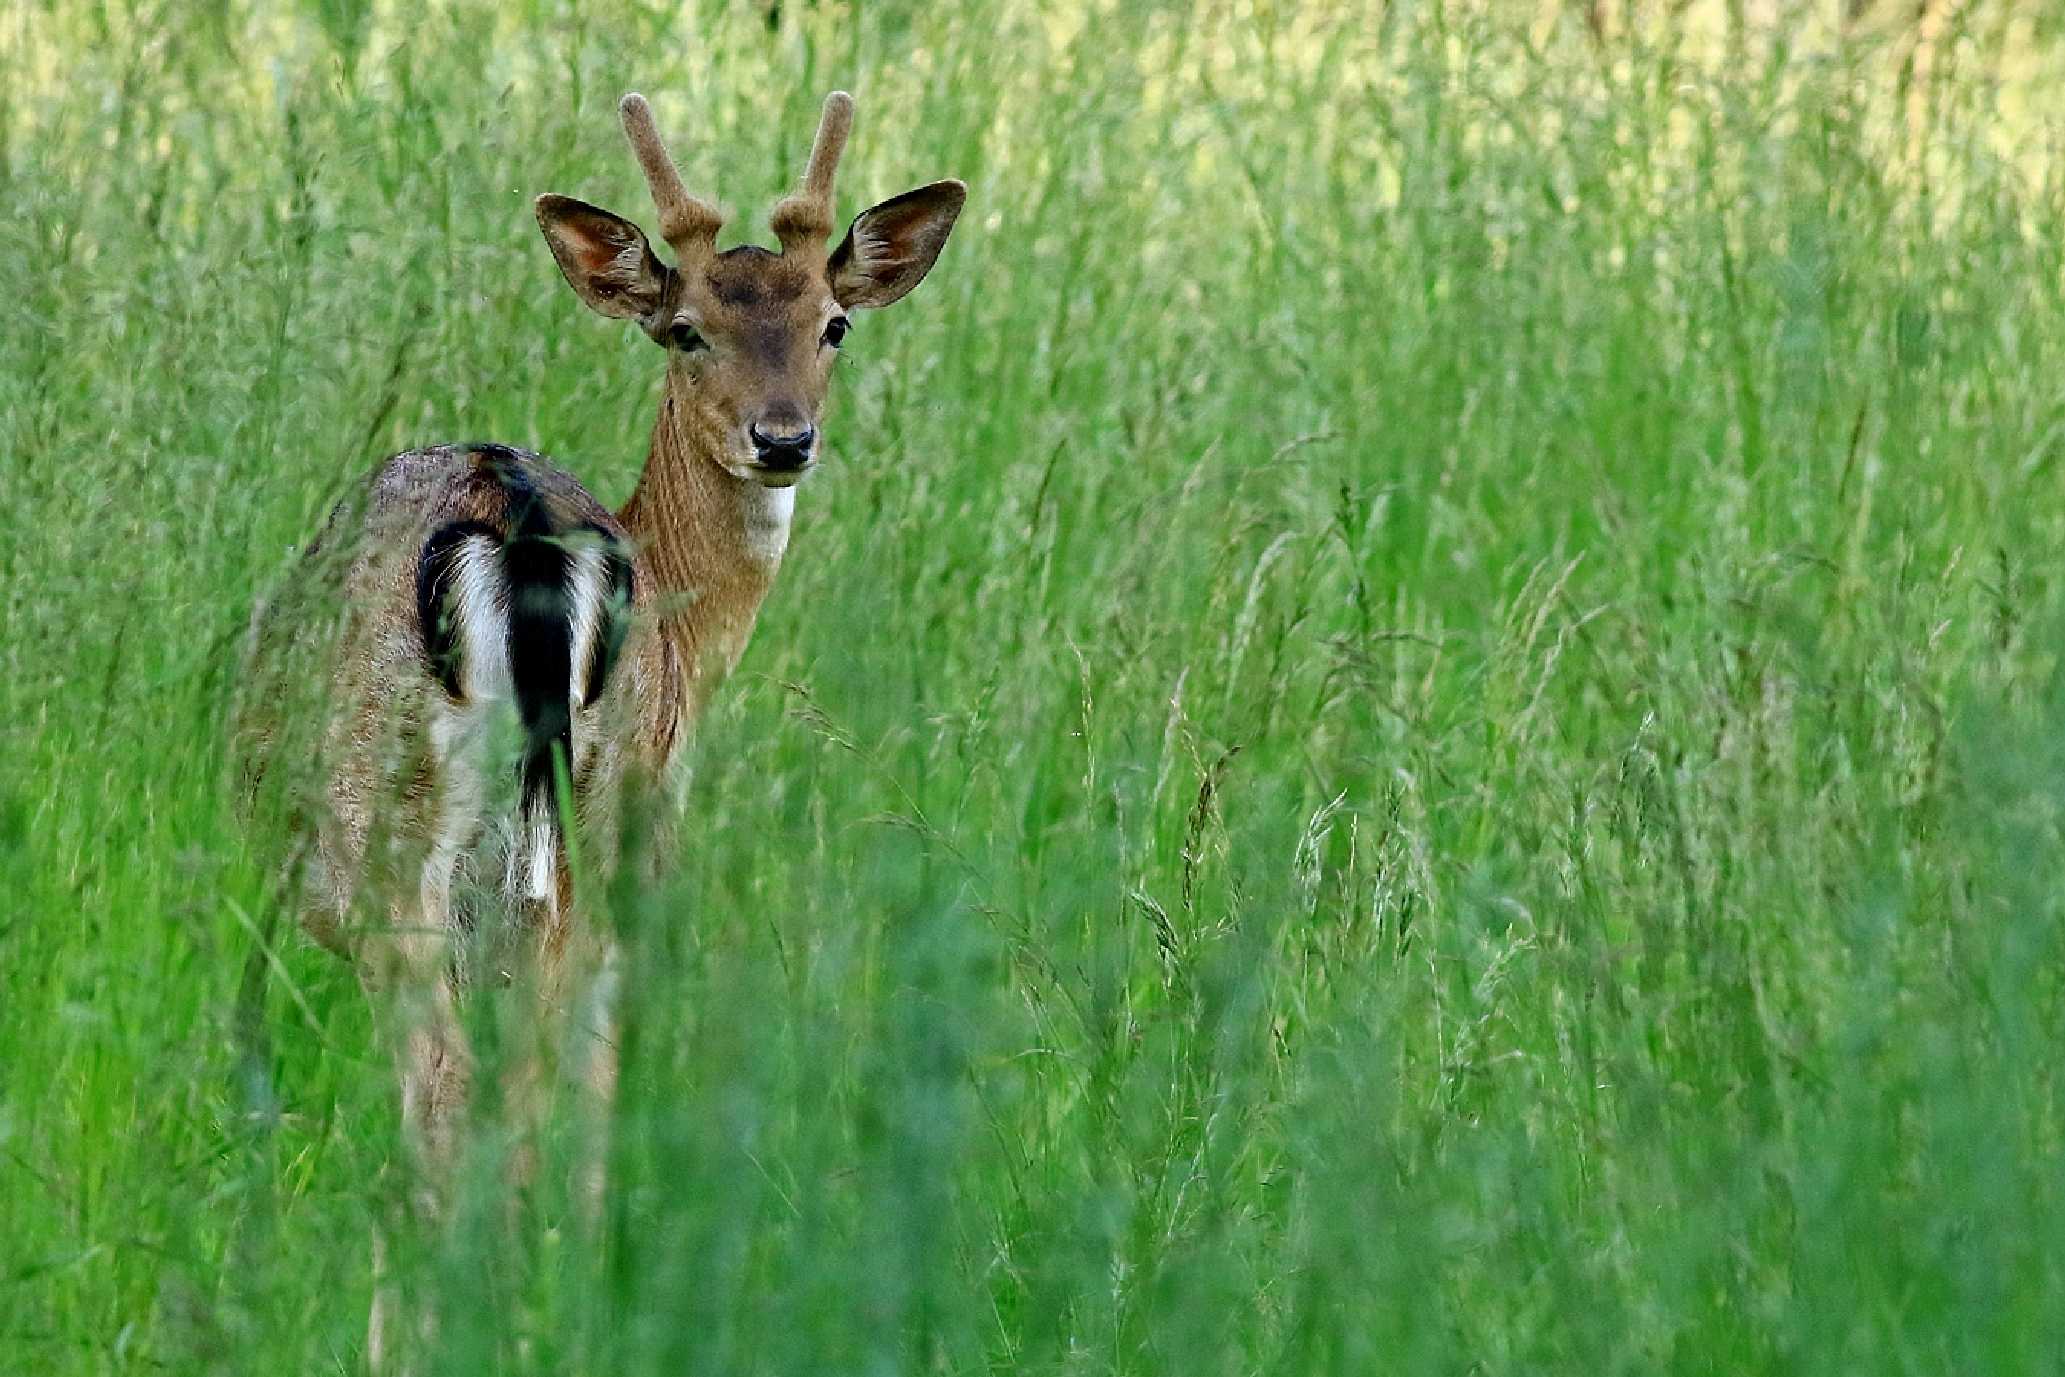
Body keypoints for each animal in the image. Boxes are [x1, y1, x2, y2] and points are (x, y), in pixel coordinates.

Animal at [237, 91, 962, 1362]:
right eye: (685, 331)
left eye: (832, 325)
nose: (783, 438)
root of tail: (514, 528)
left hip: (440, 863)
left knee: (466, 1115)